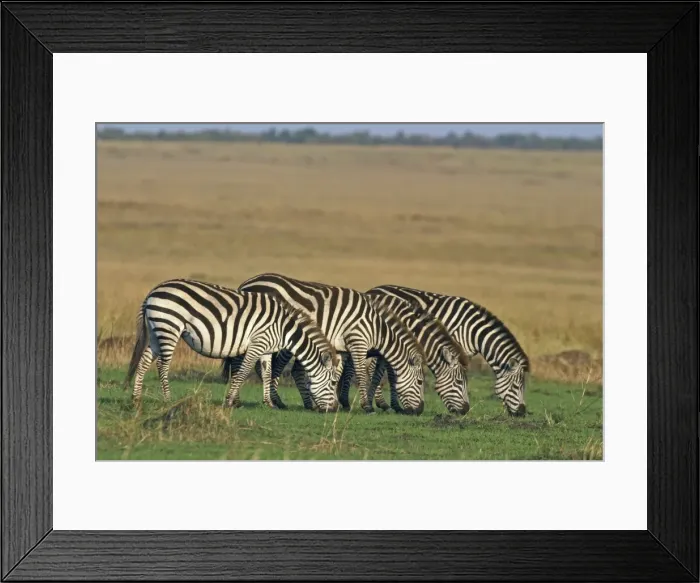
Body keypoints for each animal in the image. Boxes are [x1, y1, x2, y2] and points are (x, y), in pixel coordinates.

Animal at [123, 278, 341, 412]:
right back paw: (168, 399)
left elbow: (267, 374)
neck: (284, 328)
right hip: (169, 327)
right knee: (162, 365)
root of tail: (153, 291)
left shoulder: (266, 349)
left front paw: (269, 403)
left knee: (143, 362)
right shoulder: (257, 344)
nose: (335, 409)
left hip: (156, 331)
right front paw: (229, 401)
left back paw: (136, 399)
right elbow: (243, 372)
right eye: (333, 383)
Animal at [233, 273, 427, 415]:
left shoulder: (341, 348)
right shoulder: (358, 341)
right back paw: (254, 401)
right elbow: (361, 374)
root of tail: (246, 283)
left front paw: (334, 403)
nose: (420, 411)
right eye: (419, 382)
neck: (376, 326)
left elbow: (338, 373)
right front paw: (366, 406)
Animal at [336, 292, 471, 415]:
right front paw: (393, 406)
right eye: (459, 382)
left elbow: (378, 377)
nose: (466, 410)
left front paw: (376, 403)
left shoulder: (387, 352)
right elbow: (391, 377)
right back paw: (343, 402)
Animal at [367, 285, 530, 416]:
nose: (522, 412)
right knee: (372, 367)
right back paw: (380, 403)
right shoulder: (457, 346)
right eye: (516, 386)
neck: (473, 331)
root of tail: (373, 289)